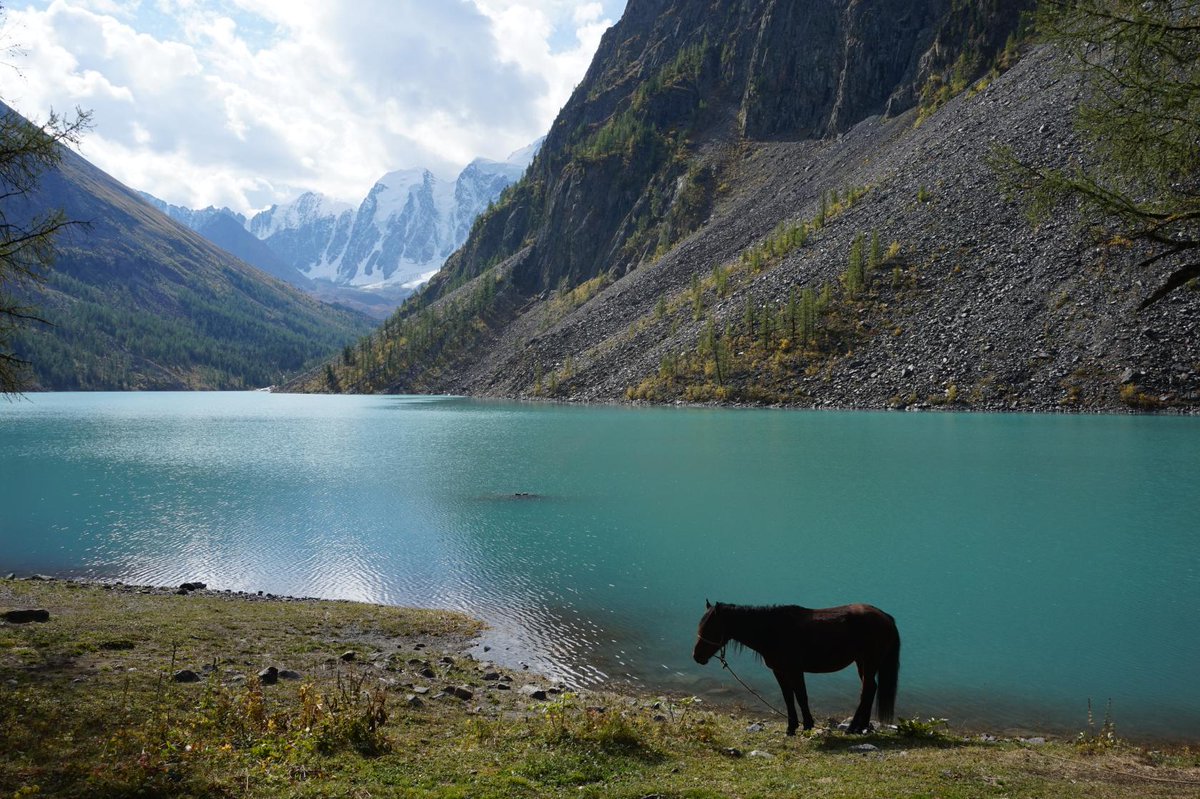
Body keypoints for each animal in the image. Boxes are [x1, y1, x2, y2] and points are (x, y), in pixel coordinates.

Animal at [696, 597, 902, 734]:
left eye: (710, 628)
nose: (696, 657)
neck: (773, 630)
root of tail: (886, 617)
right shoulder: (779, 671)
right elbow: (788, 697)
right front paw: (791, 727)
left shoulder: (795, 670)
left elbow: (801, 696)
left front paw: (808, 725)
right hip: (862, 662)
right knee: (870, 688)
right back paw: (861, 727)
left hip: (869, 662)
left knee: (866, 690)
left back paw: (852, 728)